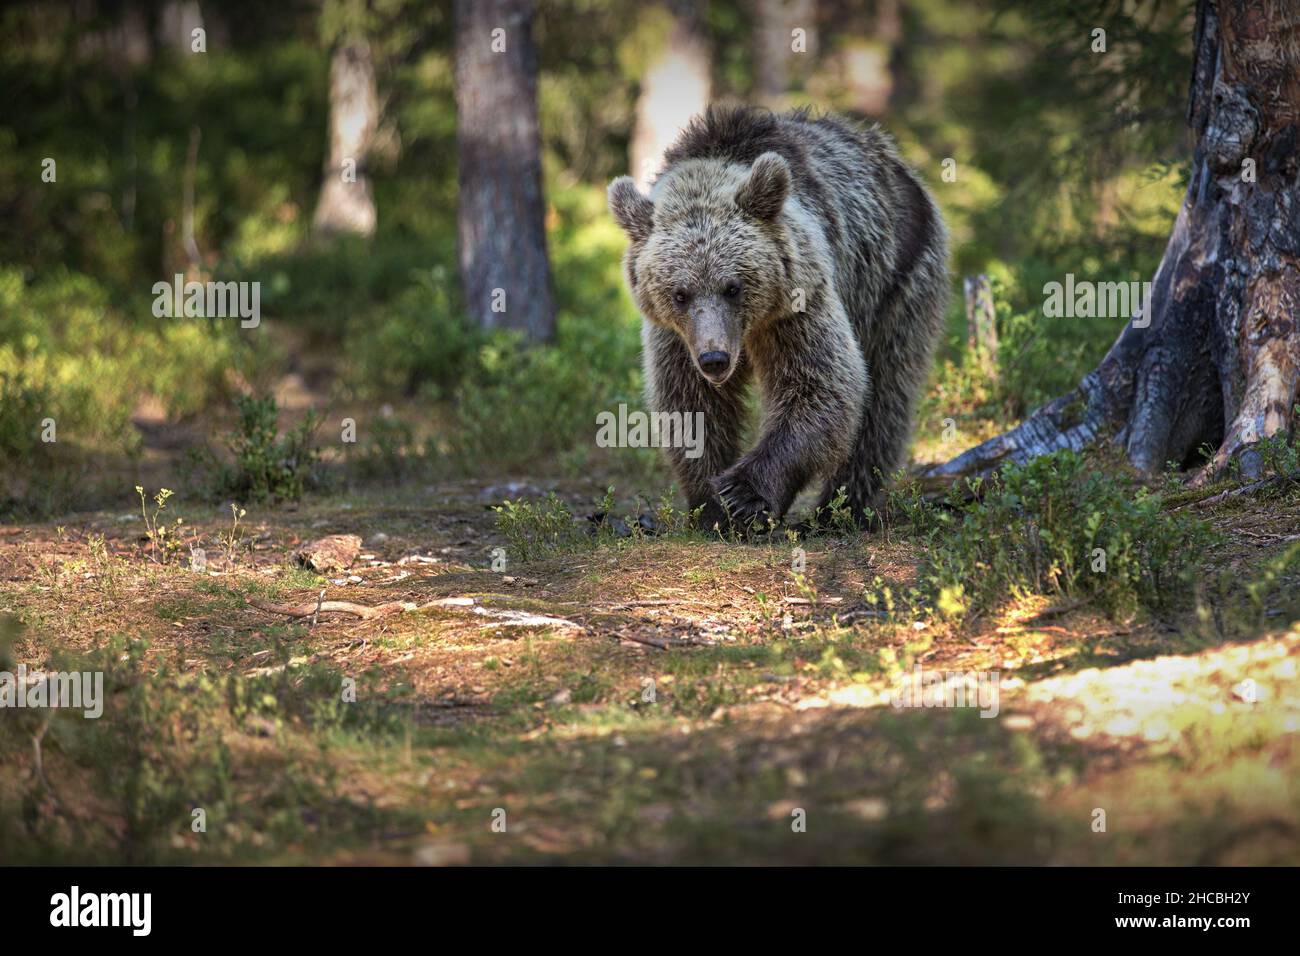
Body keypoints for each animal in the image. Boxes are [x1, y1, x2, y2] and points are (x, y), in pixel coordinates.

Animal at [607, 105, 949, 534]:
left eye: (733, 286)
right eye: (680, 293)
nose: (715, 359)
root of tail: (898, 165)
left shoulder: (798, 300)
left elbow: (821, 386)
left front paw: (743, 494)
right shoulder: (676, 337)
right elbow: (690, 404)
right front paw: (710, 506)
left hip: (898, 279)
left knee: (886, 395)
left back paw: (842, 509)